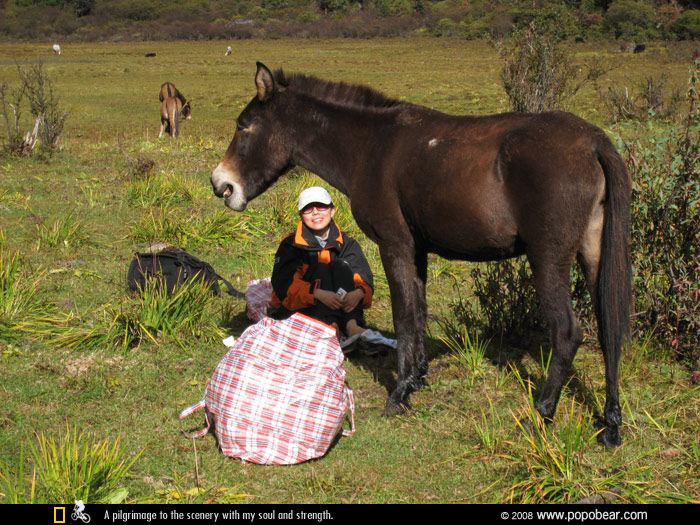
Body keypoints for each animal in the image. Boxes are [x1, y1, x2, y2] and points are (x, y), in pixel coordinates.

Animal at [211, 63, 632, 444]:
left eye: (244, 125)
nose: (221, 185)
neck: (371, 147)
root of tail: (592, 141)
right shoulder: (417, 250)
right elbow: (419, 309)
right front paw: (417, 377)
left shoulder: (394, 245)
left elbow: (404, 314)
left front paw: (399, 393)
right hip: (593, 252)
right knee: (609, 325)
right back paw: (610, 422)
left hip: (547, 258)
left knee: (568, 332)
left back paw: (541, 414)